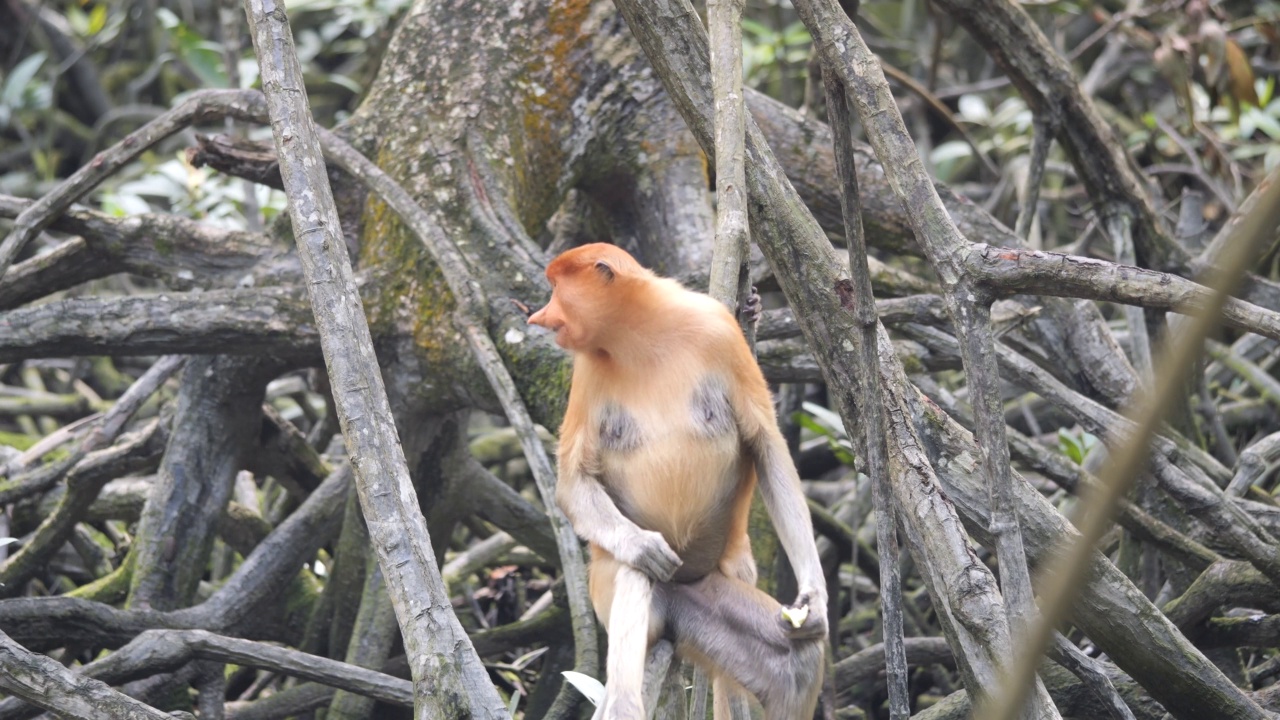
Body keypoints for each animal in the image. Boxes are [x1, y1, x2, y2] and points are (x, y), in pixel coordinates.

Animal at [524, 242, 824, 717]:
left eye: (557, 288)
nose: (540, 316)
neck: (641, 336)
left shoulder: (719, 332)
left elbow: (767, 444)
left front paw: (813, 602)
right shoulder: (586, 372)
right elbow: (573, 483)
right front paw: (643, 546)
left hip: (702, 596)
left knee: (798, 664)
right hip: (608, 589)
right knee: (634, 574)